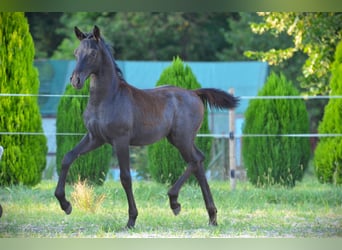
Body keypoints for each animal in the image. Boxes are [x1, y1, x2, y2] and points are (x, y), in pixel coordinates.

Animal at [54, 25, 240, 229]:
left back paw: (175, 202)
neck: (108, 98)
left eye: (93, 53)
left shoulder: (120, 140)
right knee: (198, 162)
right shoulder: (95, 138)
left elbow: (125, 177)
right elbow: (67, 157)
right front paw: (65, 204)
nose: (75, 80)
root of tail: (194, 93)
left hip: (181, 138)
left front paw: (131, 219)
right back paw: (211, 216)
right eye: (76, 52)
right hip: (178, 139)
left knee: (196, 160)